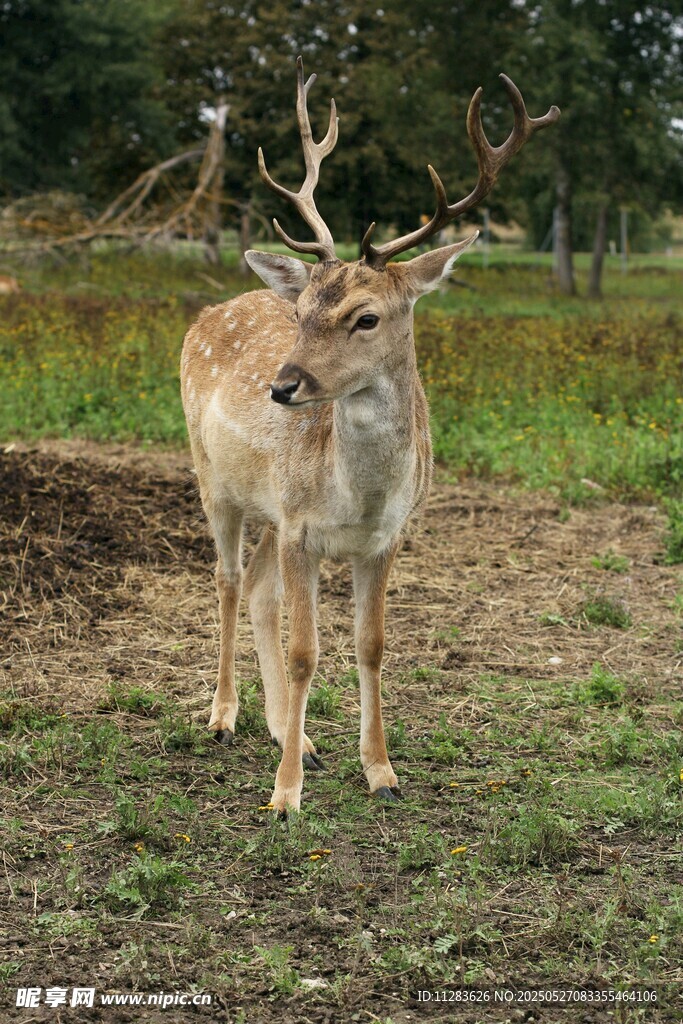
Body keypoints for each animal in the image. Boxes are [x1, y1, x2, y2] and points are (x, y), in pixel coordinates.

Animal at [180, 58, 559, 815]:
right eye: (300, 310)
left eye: (366, 316)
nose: (283, 386)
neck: (357, 495)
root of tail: (207, 311)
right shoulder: (301, 527)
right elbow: (307, 653)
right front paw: (284, 797)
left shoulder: (383, 536)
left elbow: (371, 645)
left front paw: (380, 771)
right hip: (214, 479)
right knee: (229, 580)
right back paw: (223, 717)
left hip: (268, 509)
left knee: (259, 591)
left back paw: (289, 734)